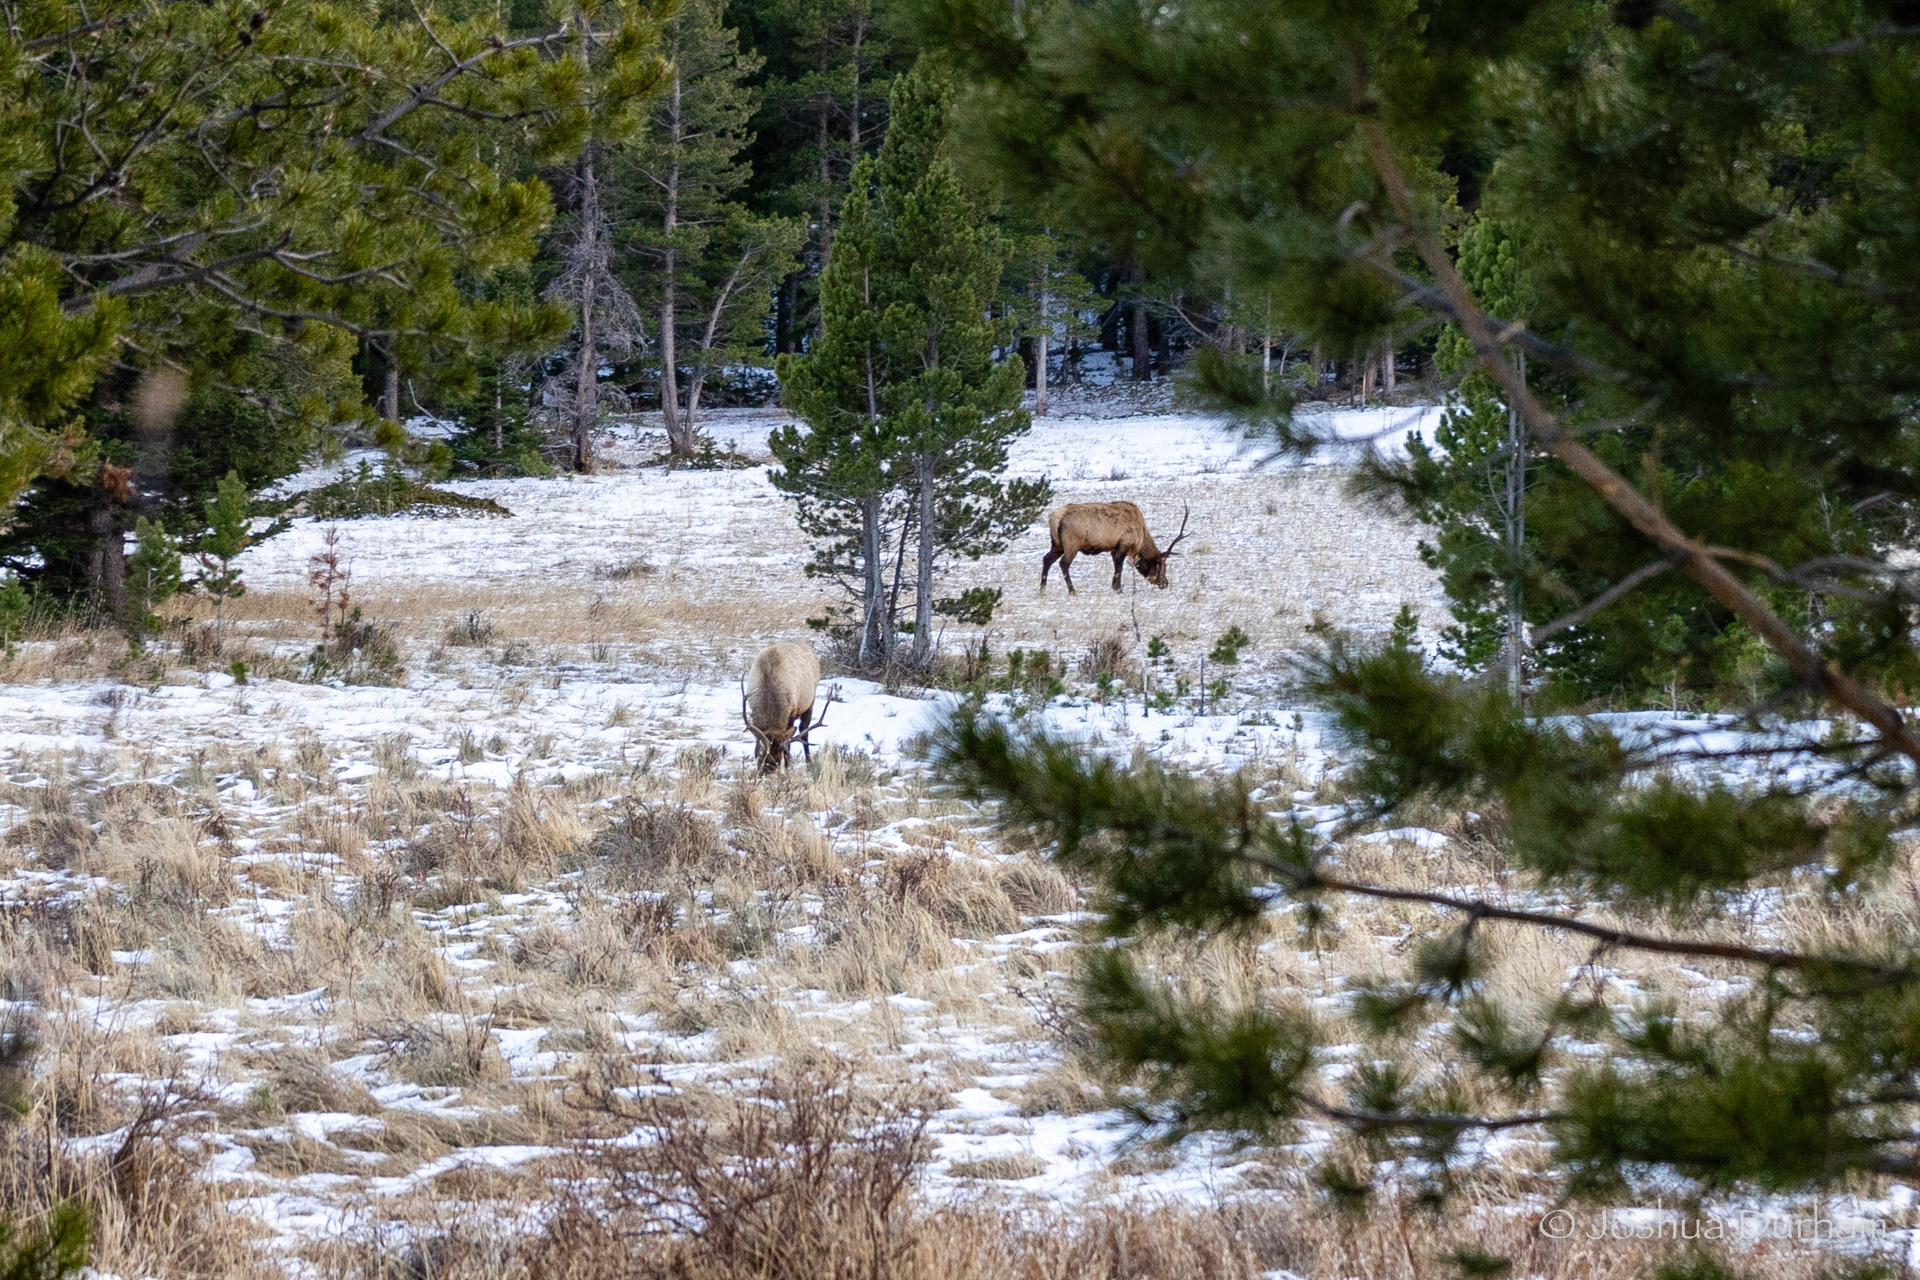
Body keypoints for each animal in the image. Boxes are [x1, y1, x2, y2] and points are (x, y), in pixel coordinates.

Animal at [740, 642, 833, 773]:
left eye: (779, 757)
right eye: (763, 755)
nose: (767, 771)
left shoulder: (791, 712)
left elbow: (788, 742)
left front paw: (788, 763)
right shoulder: (753, 711)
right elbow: (757, 740)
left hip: (810, 702)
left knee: (804, 731)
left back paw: (809, 763)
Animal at [1040, 502, 1190, 594]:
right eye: (1161, 566)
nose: (1165, 583)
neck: (1140, 540)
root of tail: (1054, 518)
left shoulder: (1113, 548)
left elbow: (1116, 567)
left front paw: (1115, 587)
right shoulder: (1123, 545)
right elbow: (1119, 568)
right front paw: (1118, 589)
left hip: (1057, 544)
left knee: (1046, 559)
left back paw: (1042, 588)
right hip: (1072, 544)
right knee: (1063, 563)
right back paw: (1072, 591)